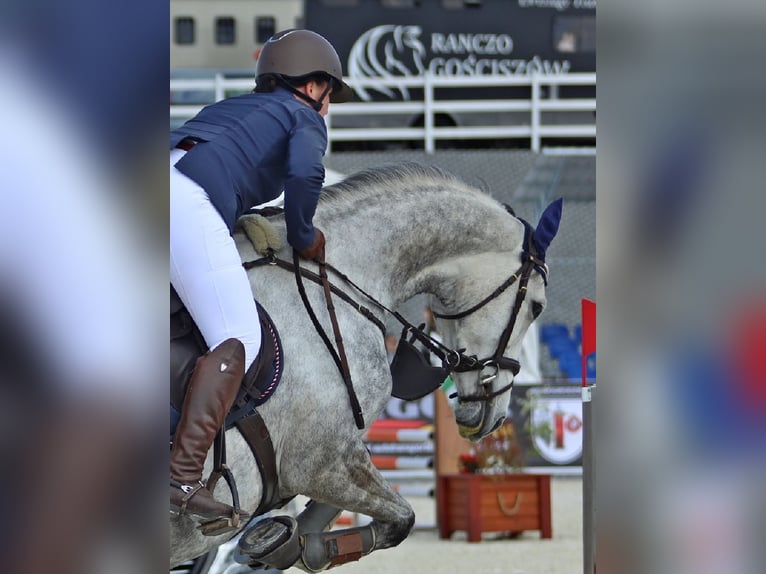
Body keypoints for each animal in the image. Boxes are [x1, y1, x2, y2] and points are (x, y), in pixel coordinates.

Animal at [171, 164, 560, 572]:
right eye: (537, 306)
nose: (496, 417)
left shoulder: (333, 459)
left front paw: (281, 539)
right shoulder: (322, 462)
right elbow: (401, 519)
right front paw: (291, 544)